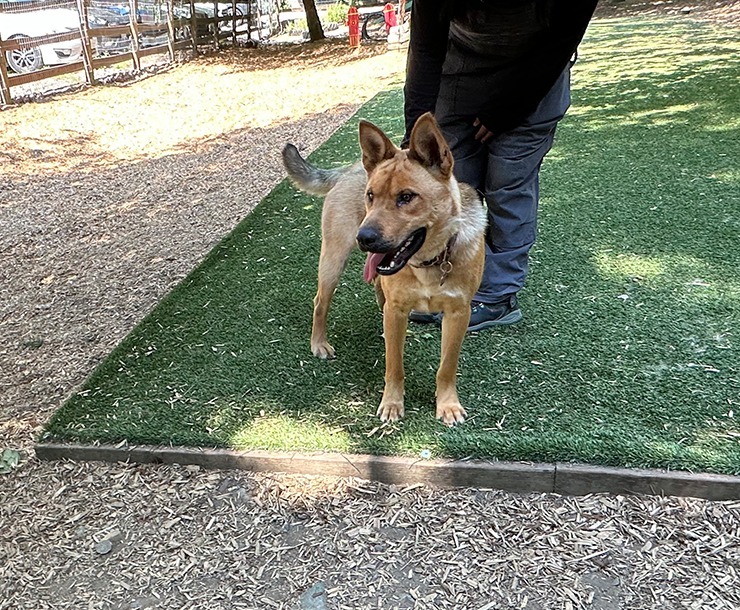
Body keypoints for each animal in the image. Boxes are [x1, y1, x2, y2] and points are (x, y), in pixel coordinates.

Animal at [284, 113, 486, 422]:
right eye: (370, 195)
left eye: (406, 197)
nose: (364, 237)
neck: (428, 263)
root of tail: (351, 168)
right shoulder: (398, 311)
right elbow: (394, 365)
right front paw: (392, 403)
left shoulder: (458, 313)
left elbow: (447, 367)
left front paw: (447, 404)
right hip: (333, 260)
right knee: (320, 302)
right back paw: (318, 343)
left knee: (378, 289)